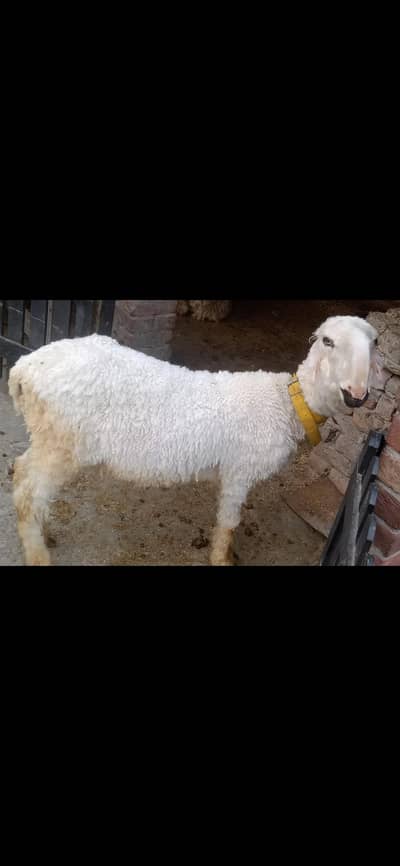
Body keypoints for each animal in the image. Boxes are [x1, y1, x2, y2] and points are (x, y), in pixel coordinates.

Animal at [8, 314, 378, 567]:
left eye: (373, 343)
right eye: (327, 341)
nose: (357, 394)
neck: (287, 404)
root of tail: (24, 368)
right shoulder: (240, 471)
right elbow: (228, 522)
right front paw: (222, 558)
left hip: (49, 437)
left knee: (25, 476)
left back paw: (44, 529)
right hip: (62, 440)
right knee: (28, 490)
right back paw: (38, 554)